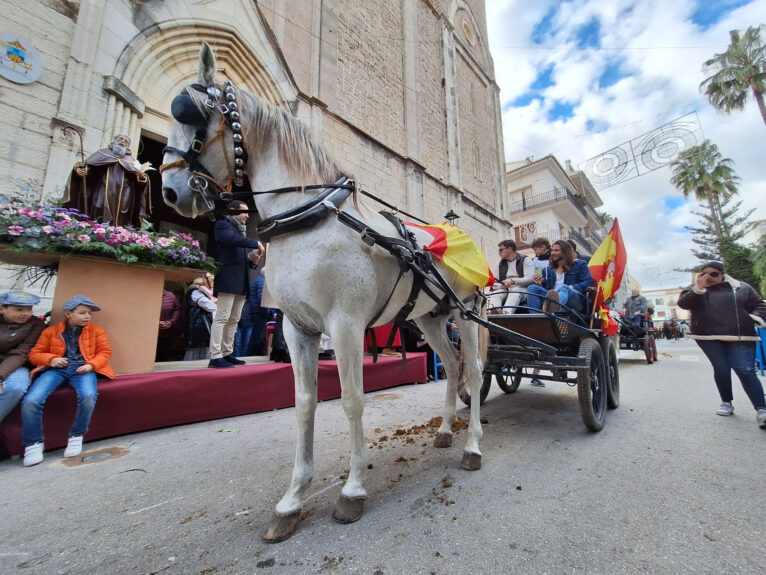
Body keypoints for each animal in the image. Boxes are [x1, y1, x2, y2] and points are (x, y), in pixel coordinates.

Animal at [160, 44, 486, 540]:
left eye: (191, 114)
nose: (169, 192)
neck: (307, 219)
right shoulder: (297, 329)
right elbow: (304, 405)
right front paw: (292, 499)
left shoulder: (345, 325)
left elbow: (351, 401)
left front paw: (352, 490)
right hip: (428, 318)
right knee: (451, 367)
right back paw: (447, 430)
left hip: (467, 314)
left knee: (478, 371)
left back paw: (473, 446)